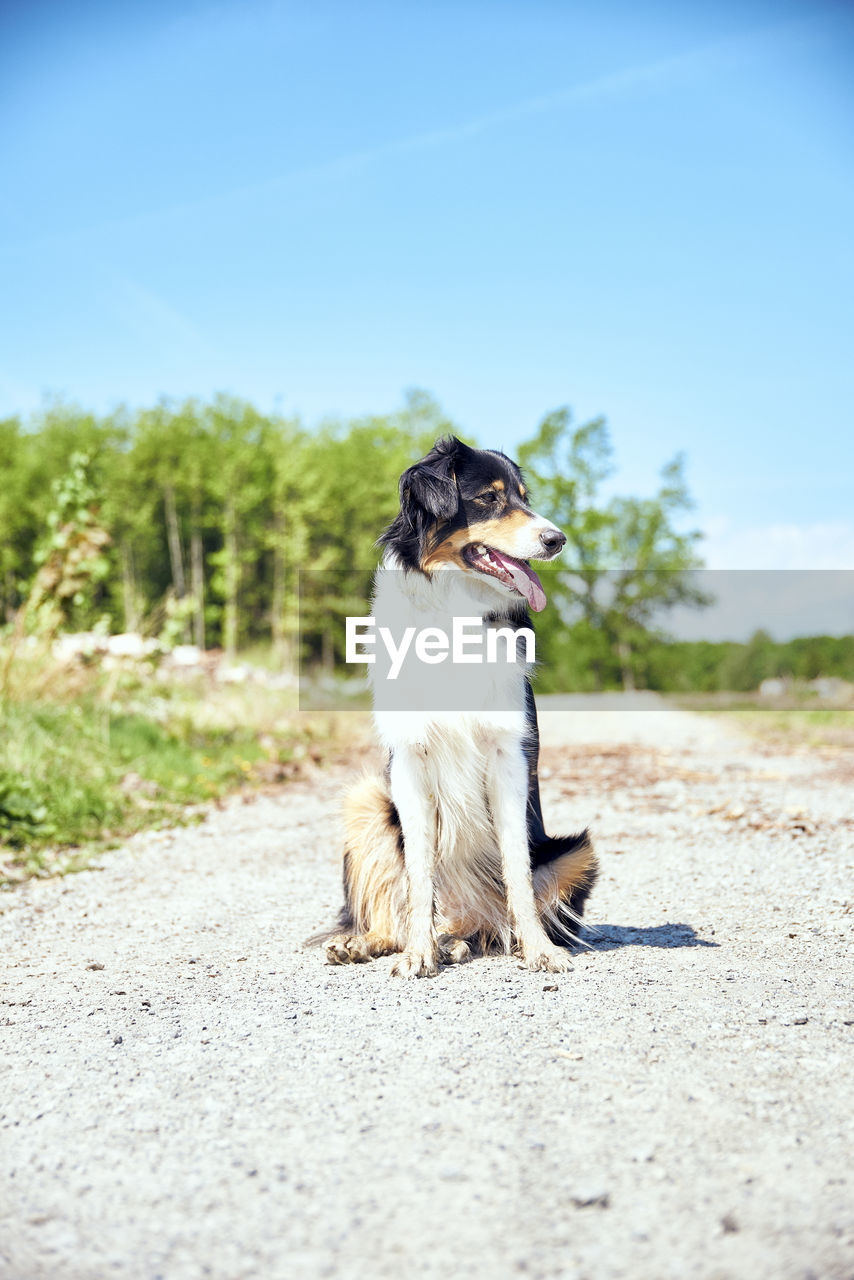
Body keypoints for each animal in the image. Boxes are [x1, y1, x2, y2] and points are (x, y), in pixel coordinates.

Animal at [318, 435, 594, 972]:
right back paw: (371, 942)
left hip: (576, 851)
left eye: (524, 498)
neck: (456, 612)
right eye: (488, 498)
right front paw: (418, 955)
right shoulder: (410, 758)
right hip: (367, 801)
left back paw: (464, 940)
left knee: (493, 919)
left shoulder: (509, 756)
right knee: (403, 908)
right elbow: (419, 872)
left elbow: (517, 869)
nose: (558, 539)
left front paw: (540, 950)